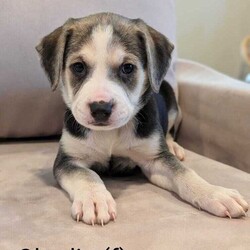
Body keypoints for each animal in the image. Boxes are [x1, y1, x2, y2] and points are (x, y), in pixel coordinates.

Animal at [36, 12, 249, 226]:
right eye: (78, 67)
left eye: (128, 68)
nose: (100, 108)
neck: (111, 133)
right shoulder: (68, 160)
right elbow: (86, 174)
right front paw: (94, 199)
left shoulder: (155, 160)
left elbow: (184, 173)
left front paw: (215, 193)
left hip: (172, 103)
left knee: (169, 132)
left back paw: (173, 146)